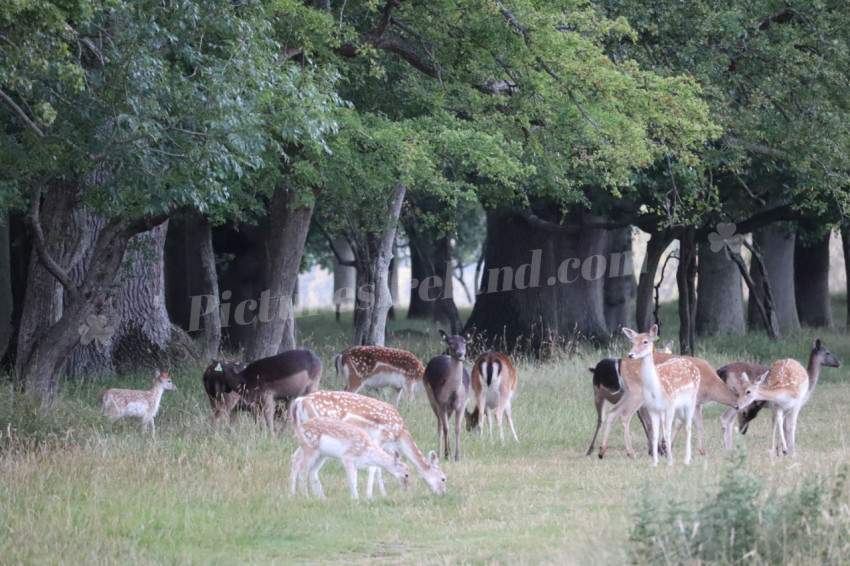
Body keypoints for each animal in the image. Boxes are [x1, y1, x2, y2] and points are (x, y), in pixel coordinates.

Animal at [290, 392, 444, 500]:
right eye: (443, 478)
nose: (443, 493)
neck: (400, 434)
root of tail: (299, 401)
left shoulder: (387, 445)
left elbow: (381, 468)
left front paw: (382, 493)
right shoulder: (381, 437)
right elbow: (373, 468)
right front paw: (369, 495)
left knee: (296, 457)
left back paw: (295, 494)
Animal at [422, 330, 470, 464]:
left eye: (465, 342)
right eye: (450, 342)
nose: (460, 354)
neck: (453, 393)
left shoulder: (462, 404)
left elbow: (457, 428)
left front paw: (457, 456)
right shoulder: (441, 403)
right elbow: (446, 428)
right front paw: (447, 454)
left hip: (450, 409)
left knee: (445, 423)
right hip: (431, 398)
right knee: (440, 425)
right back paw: (440, 454)